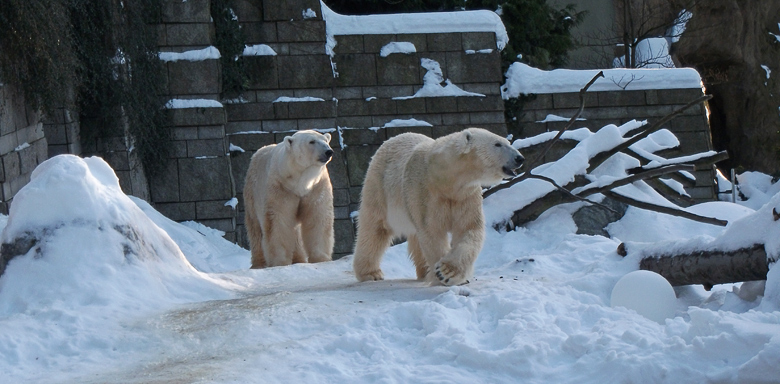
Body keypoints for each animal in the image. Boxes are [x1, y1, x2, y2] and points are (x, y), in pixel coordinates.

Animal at [244, 129, 336, 268]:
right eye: (312, 141)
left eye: (326, 140)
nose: (328, 151)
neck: (299, 181)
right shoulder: (280, 187)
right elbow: (278, 221)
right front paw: (280, 262)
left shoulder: (317, 186)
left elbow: (318, 217)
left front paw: (321, 258)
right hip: (252, 193)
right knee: (255, 228)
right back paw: (259, 263)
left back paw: (299, 259)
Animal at [354, 128, 524, 284]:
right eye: (497, 144)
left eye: (508, 142)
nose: (519, 158)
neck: (445, 180)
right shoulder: (425, 191)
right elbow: (432, 230)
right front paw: (443, 273)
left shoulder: (465, 195)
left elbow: (469, 228)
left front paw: (449, 273)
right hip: (379, 186)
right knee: (375, 227)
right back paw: (371, 273)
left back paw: (424, 272)